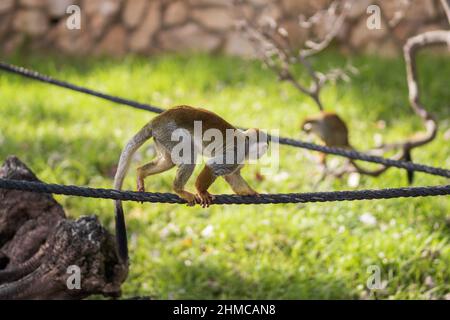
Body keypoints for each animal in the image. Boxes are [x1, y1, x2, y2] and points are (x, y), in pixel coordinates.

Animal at [113, 105, 268, 262]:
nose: (266, 148)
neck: (246, 141)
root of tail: (157, 119)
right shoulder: (238, 152)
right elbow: (213, 167)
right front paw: (202, 192)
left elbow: (232, 176)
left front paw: (250, 192)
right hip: (170, 132)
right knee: (189, 155)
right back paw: (178, 189)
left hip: (162, 138)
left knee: (168, 161)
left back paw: (141, 173)